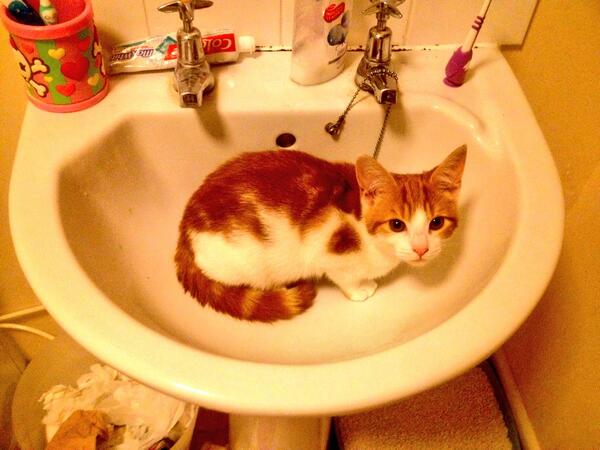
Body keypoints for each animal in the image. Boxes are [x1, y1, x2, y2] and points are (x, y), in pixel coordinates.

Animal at [175, 146, 466, 322]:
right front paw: (360, 289)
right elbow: (344, 277)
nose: (421, 248)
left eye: (436, 223)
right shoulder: (327, 250)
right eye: (397, 225)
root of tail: (186, 222)